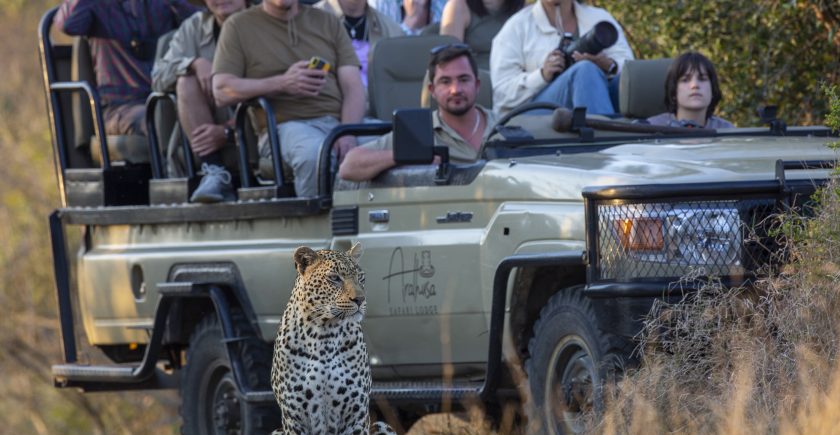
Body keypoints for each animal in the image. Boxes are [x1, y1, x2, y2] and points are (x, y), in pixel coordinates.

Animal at [272, 244, 398, 434]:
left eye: (361, 277)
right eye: (334, 278)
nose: (360, 299)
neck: (323, 336)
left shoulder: (357, 413)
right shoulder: (293, 417)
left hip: (382, 425)